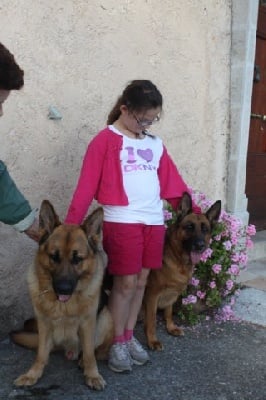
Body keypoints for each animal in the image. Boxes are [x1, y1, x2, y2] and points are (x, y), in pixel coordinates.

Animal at [11, 200, 113, 390]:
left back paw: (83, 361)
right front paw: (33, 374)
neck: (64, 307)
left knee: (98, 351)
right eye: (54, 257)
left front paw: (92, 374)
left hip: (106, 318)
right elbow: (41, 354)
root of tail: (69, 348)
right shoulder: (43, 324)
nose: (63, 289)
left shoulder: (88, 323)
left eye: (77, 259)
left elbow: (90, 354)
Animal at [143, 192, 220, 352]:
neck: (178, 260)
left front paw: (171, 328)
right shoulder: (152, 294)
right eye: (189, 227)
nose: (200, 246)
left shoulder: (172, 293)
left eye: (205, 229)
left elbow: (168, 312)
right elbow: (152, 320)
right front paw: (152, 340)